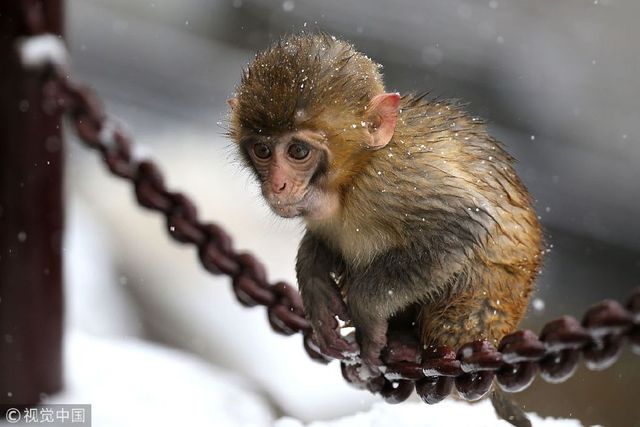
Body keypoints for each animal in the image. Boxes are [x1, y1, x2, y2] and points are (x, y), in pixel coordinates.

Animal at [228, 31, 544, 426]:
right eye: (263, 151)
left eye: (298, 151)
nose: (277, 186)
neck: (349, 180)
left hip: (476, 320)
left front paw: (365, 307)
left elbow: (463, 223)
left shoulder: (390, 182)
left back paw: (407, 345)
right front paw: (315, 284)